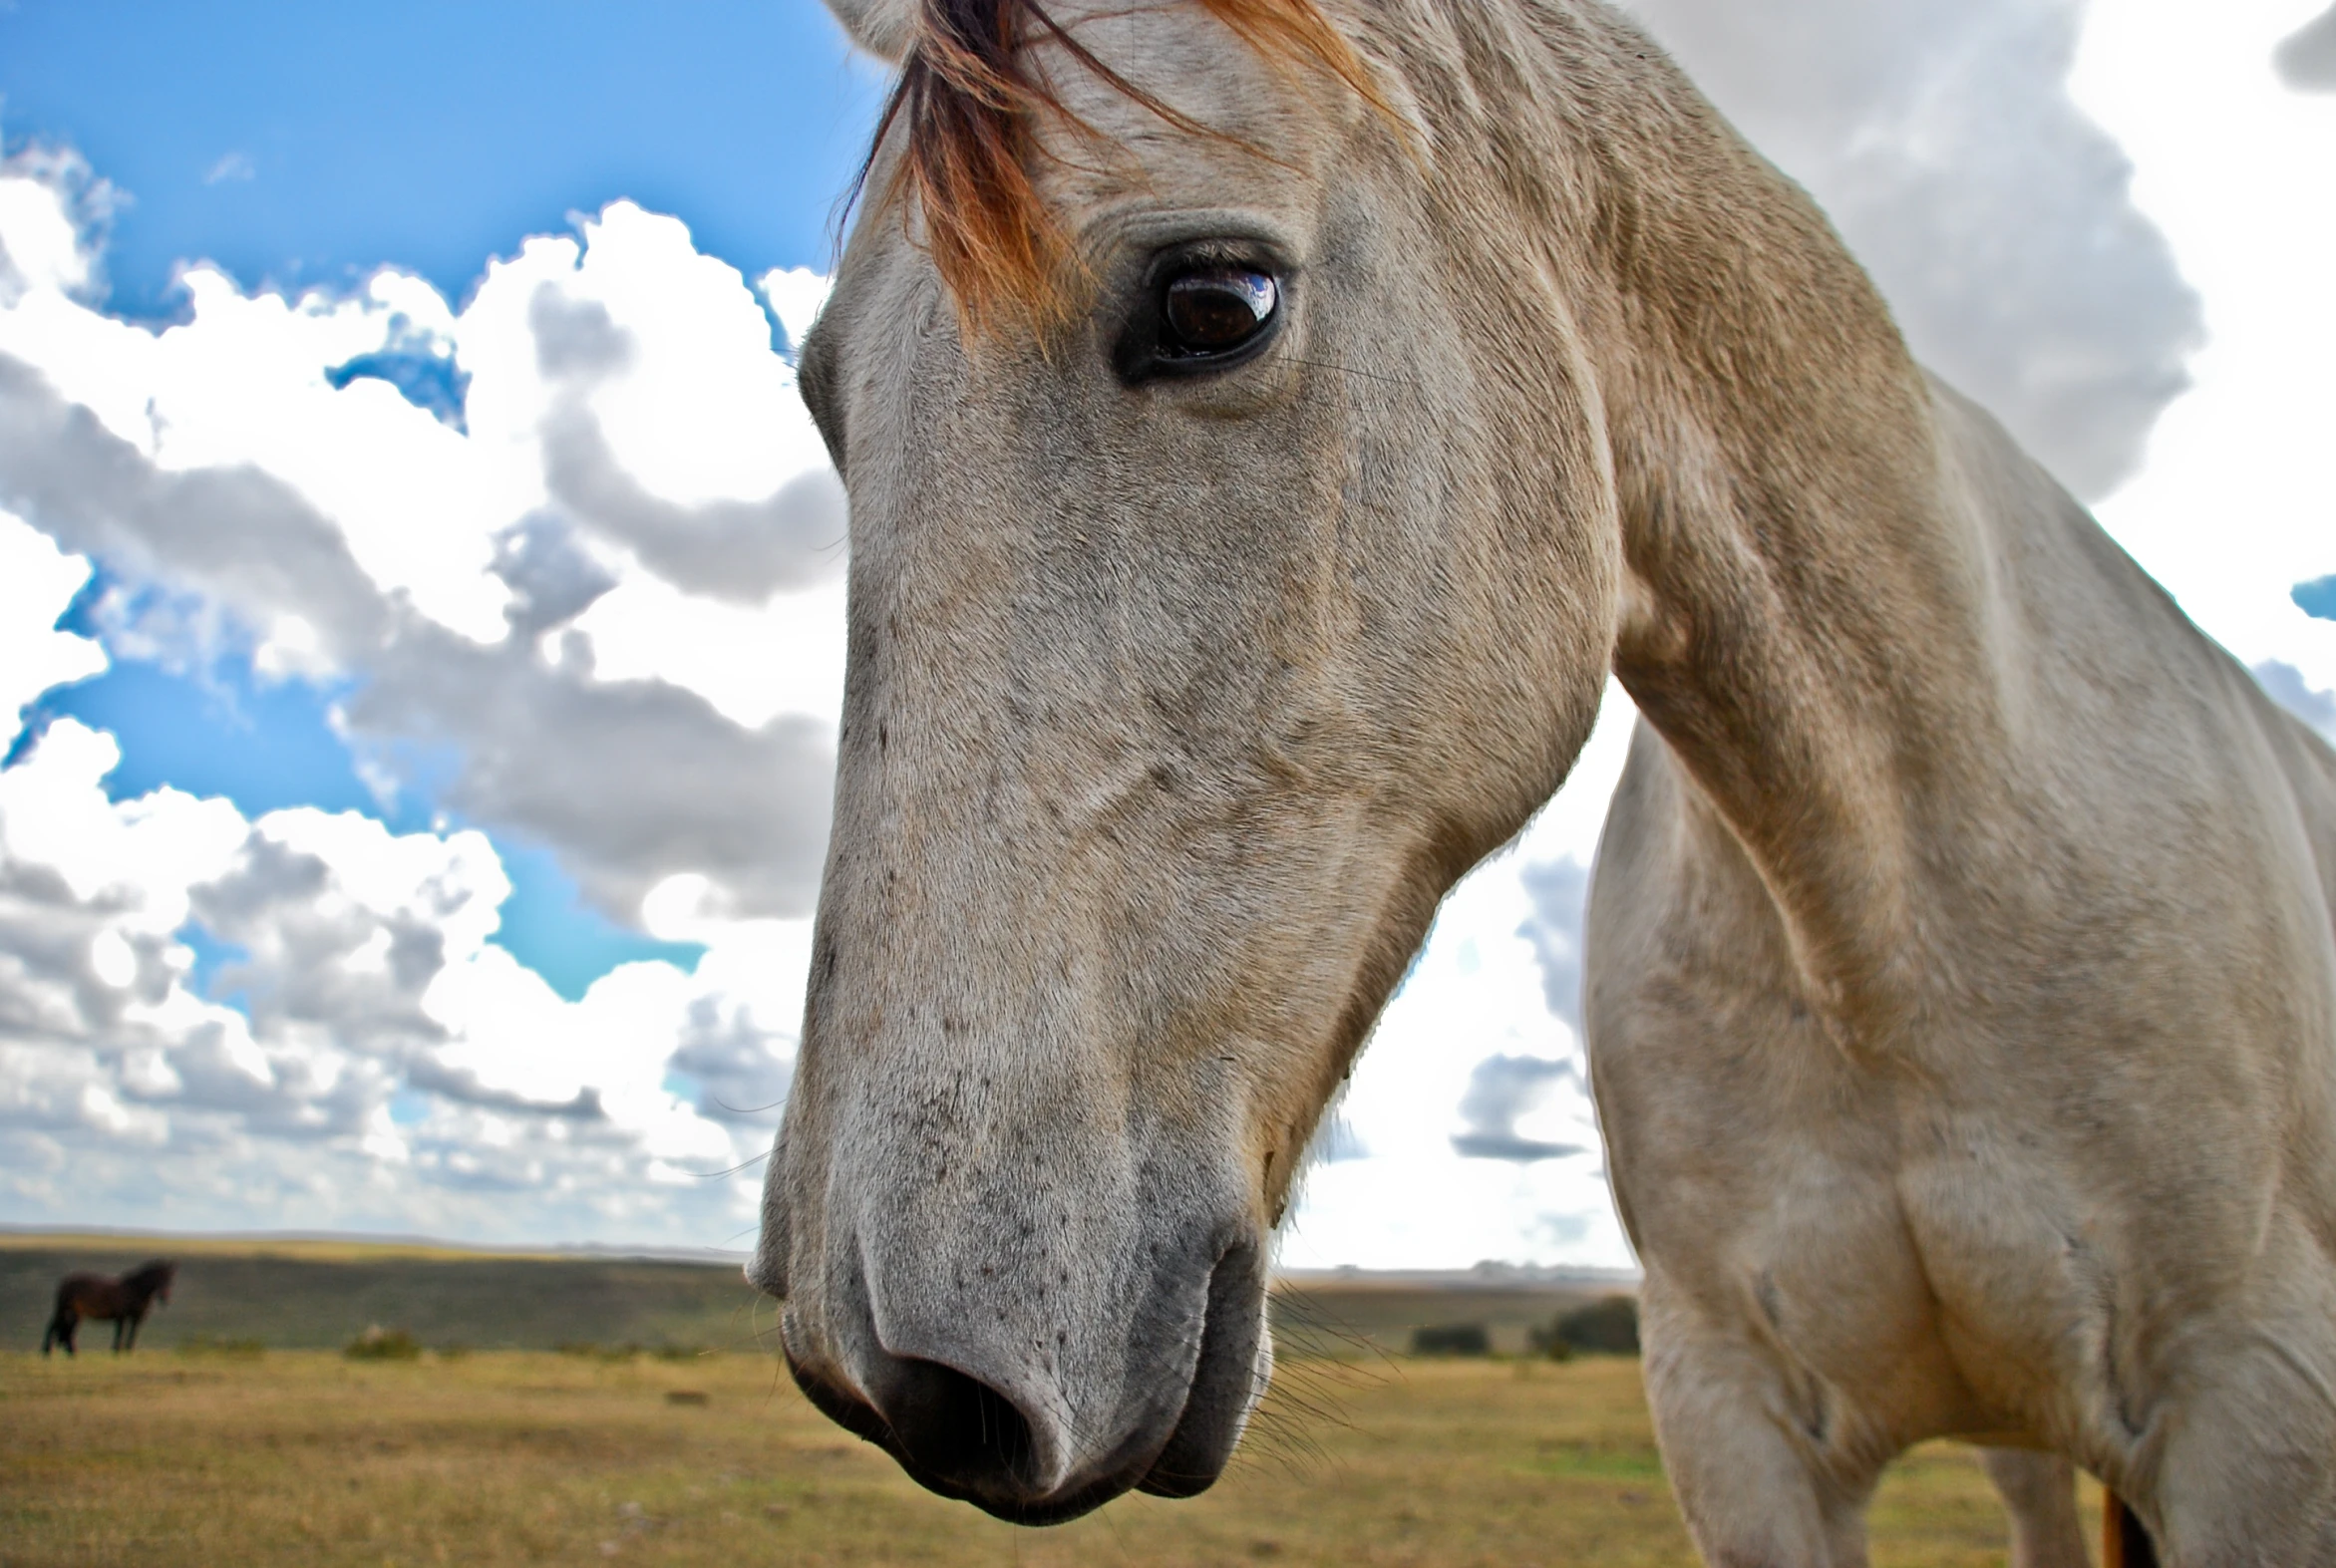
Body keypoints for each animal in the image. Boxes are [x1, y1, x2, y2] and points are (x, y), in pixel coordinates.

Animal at [42, 1261, 174, 1355]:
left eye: (170, 1279)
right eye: (159, 1277)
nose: (165, 1299)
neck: (134, 1290)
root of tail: (66, 1280)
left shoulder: (136, 1318)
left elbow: (132, 1333)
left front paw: (128, 1351)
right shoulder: (122, 1316)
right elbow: (121, 1332)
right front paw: (117, 1351)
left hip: (71, 1312)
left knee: (64, 1330)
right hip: (66, 1310)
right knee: (54, 1326)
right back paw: (48, 1351)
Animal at [752, 0, 2336, 1551]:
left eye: (1216, 303)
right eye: (821, 393)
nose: (885, 1359)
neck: (1883, 922)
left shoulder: (2256, 1406)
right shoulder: (1728, 1419)